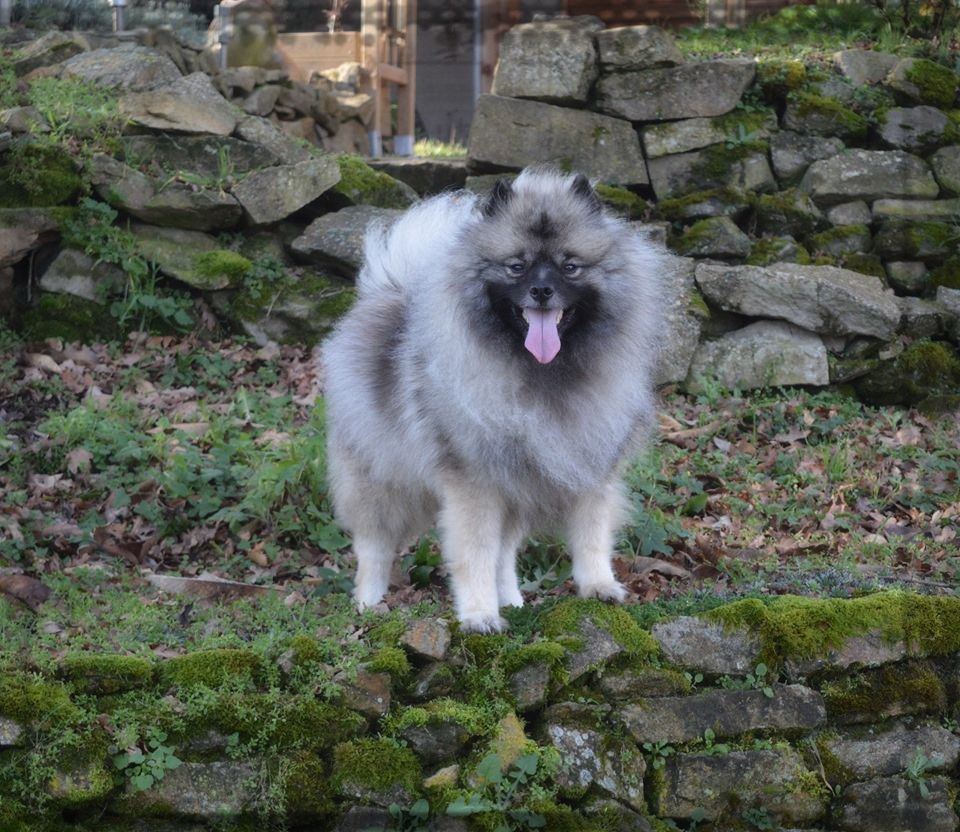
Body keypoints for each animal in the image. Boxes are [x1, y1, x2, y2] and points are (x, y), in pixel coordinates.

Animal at [326, 167, 664, 632]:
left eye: (570, 267)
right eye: (516, 266)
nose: (541, 290)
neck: (542, 373)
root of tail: (389, 291)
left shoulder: (588, 465)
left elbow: (591, 536)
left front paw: (598, 587)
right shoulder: (475, 484)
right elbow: (474, 554)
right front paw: (478, 614)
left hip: (516, 490)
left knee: (505, 555)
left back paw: (514, 601)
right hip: (380, 477)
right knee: (373, 546)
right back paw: (368, 603)